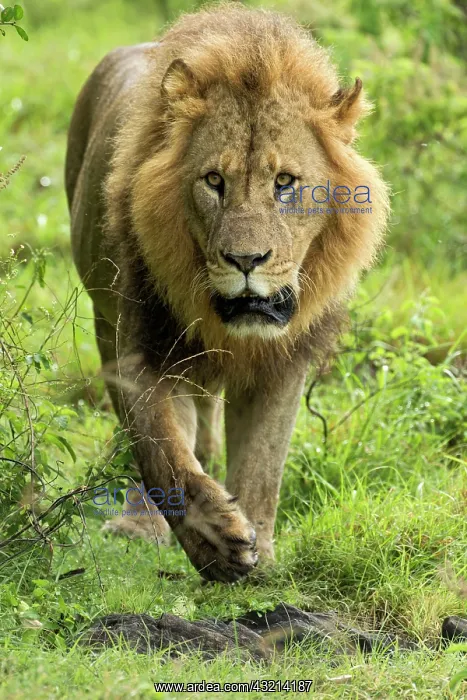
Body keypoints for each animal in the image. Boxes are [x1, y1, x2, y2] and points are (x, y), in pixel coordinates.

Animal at [65, 5, 389, 582]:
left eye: (285, 182)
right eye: (214, 180)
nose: (245, 261)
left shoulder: (283, 363)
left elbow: (262, 462)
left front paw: (261, 558)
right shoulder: (142, 349)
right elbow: (161, 451)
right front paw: (217, 544)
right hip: (105, 318)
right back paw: (140, 524)